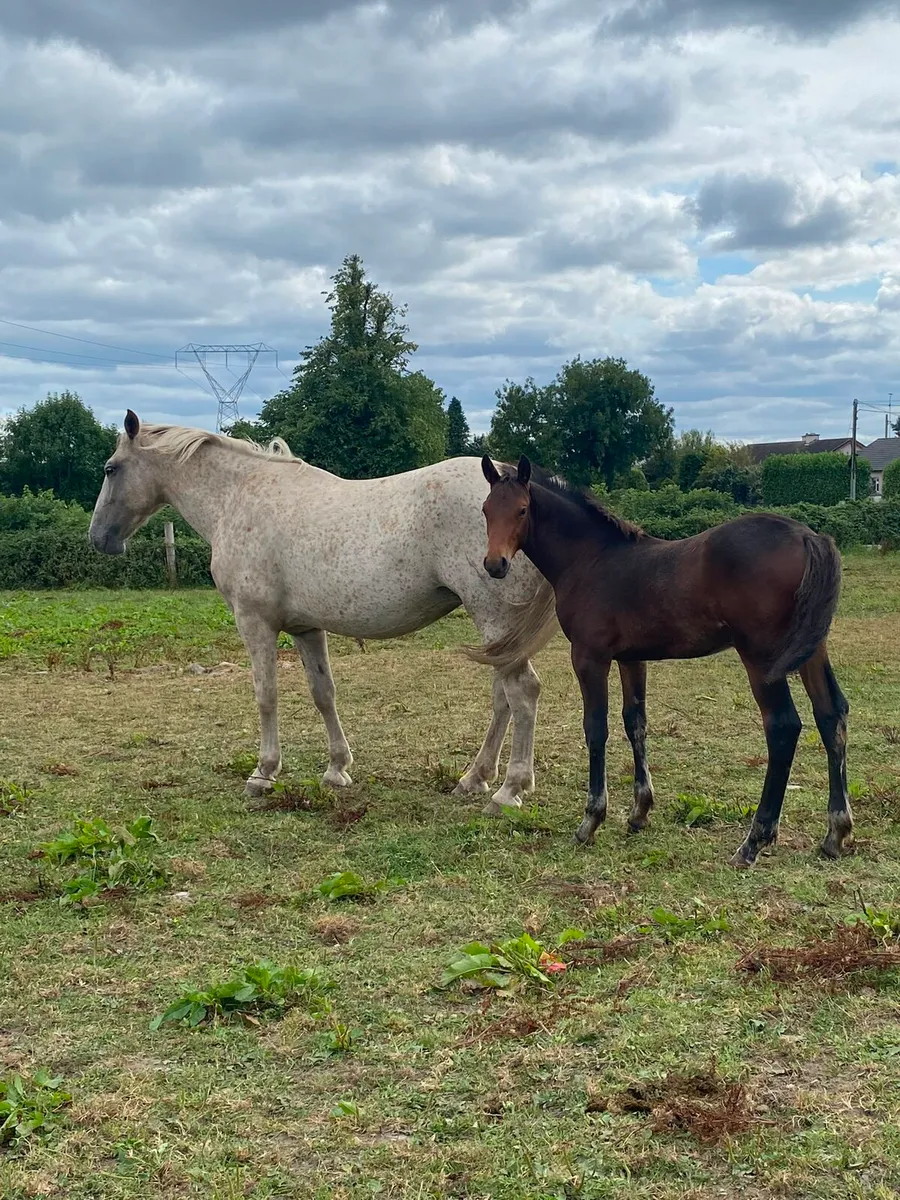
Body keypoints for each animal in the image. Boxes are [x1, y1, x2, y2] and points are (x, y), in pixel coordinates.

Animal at [88, 412, 558, 809]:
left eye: (111, 468)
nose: (98, 538)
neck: (239, 497)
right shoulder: (306, 628)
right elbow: (323, 693)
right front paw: (336, 769)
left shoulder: (255, 622)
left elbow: (266, 694)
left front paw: (263, 773)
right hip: (501, 631)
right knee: (503, 699)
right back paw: (474, 778)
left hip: (493, 616)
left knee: (522, 693)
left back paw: (509, 790)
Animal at [475, 455, 851, 868]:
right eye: (486, 510)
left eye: (522, 510)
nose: (495, 564)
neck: (590, 559)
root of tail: (807, 536)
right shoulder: (631, 659)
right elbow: (635, 723)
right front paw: (639, 812)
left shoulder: (589, 656)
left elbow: (596, 729)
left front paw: (591, 820)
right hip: (810, 649)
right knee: (831, 714)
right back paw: (836, 833)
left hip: (761, 657)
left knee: (783, 727)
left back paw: (755, 840)